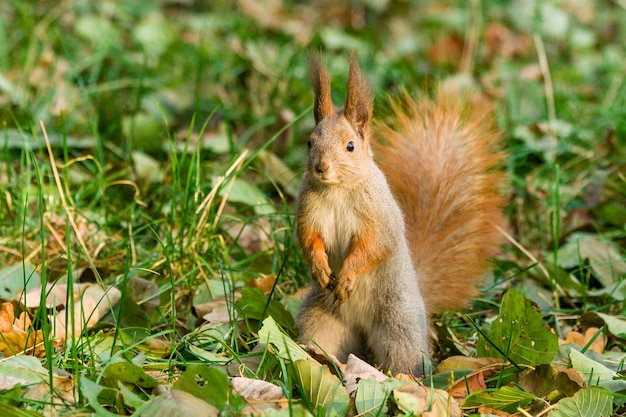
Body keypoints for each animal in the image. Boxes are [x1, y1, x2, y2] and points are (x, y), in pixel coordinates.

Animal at [294, 53, 508, 376]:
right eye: (309, 142)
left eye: (350, 146)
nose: (321, 167)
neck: (337, 190)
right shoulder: (308, 211)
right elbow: (309, 239)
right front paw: (320, 268)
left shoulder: (380, 217)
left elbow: (374, 246)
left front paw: (347, 275)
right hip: (321, 318)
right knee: (318, 340)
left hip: (399, 327)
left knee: (406, 360)